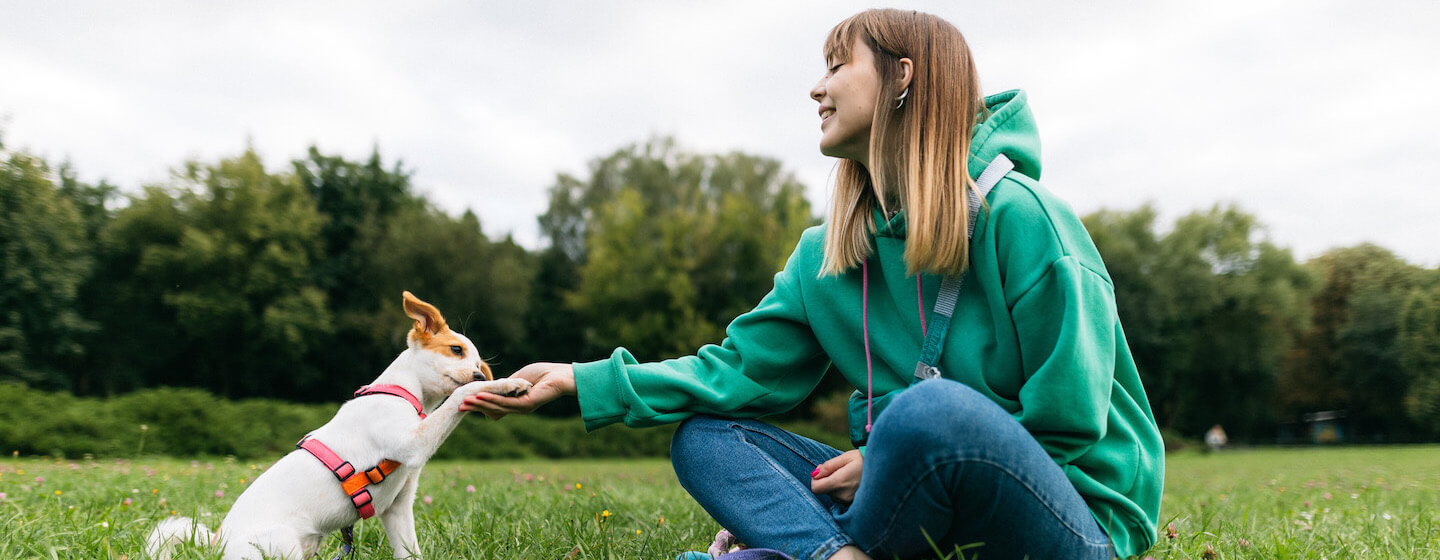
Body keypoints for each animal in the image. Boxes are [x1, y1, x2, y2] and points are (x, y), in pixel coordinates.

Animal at [146, 292, 532, 558]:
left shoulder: (397, 508)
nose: (481, 373)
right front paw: (504, 385)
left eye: (479, 362)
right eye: (455, 350)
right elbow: (460, 396)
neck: (403, 394)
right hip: (283, 543)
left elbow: (410, 552)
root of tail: (213, 545)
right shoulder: (414, 444)